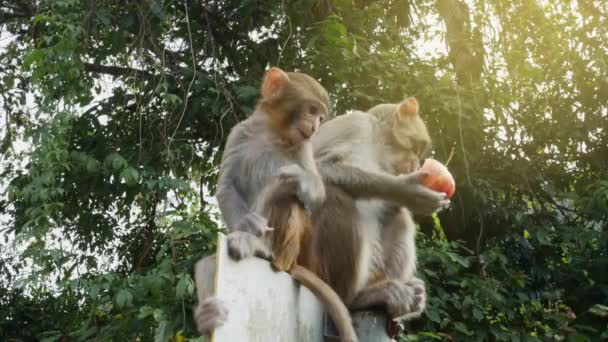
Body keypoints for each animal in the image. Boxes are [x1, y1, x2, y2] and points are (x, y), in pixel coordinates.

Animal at [192, 67, 358, 342]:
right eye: (312, 109)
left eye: (321, 116)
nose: (315, 126)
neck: (273, 130)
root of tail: (292, 263)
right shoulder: (239, 132)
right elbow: (227, 186)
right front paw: (247, 223)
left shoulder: (304, 146)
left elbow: (315, 193)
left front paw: (299, 179)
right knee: (206, 265)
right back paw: (209, 317)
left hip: (289, 250)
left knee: (288, 200)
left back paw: (264, 249)